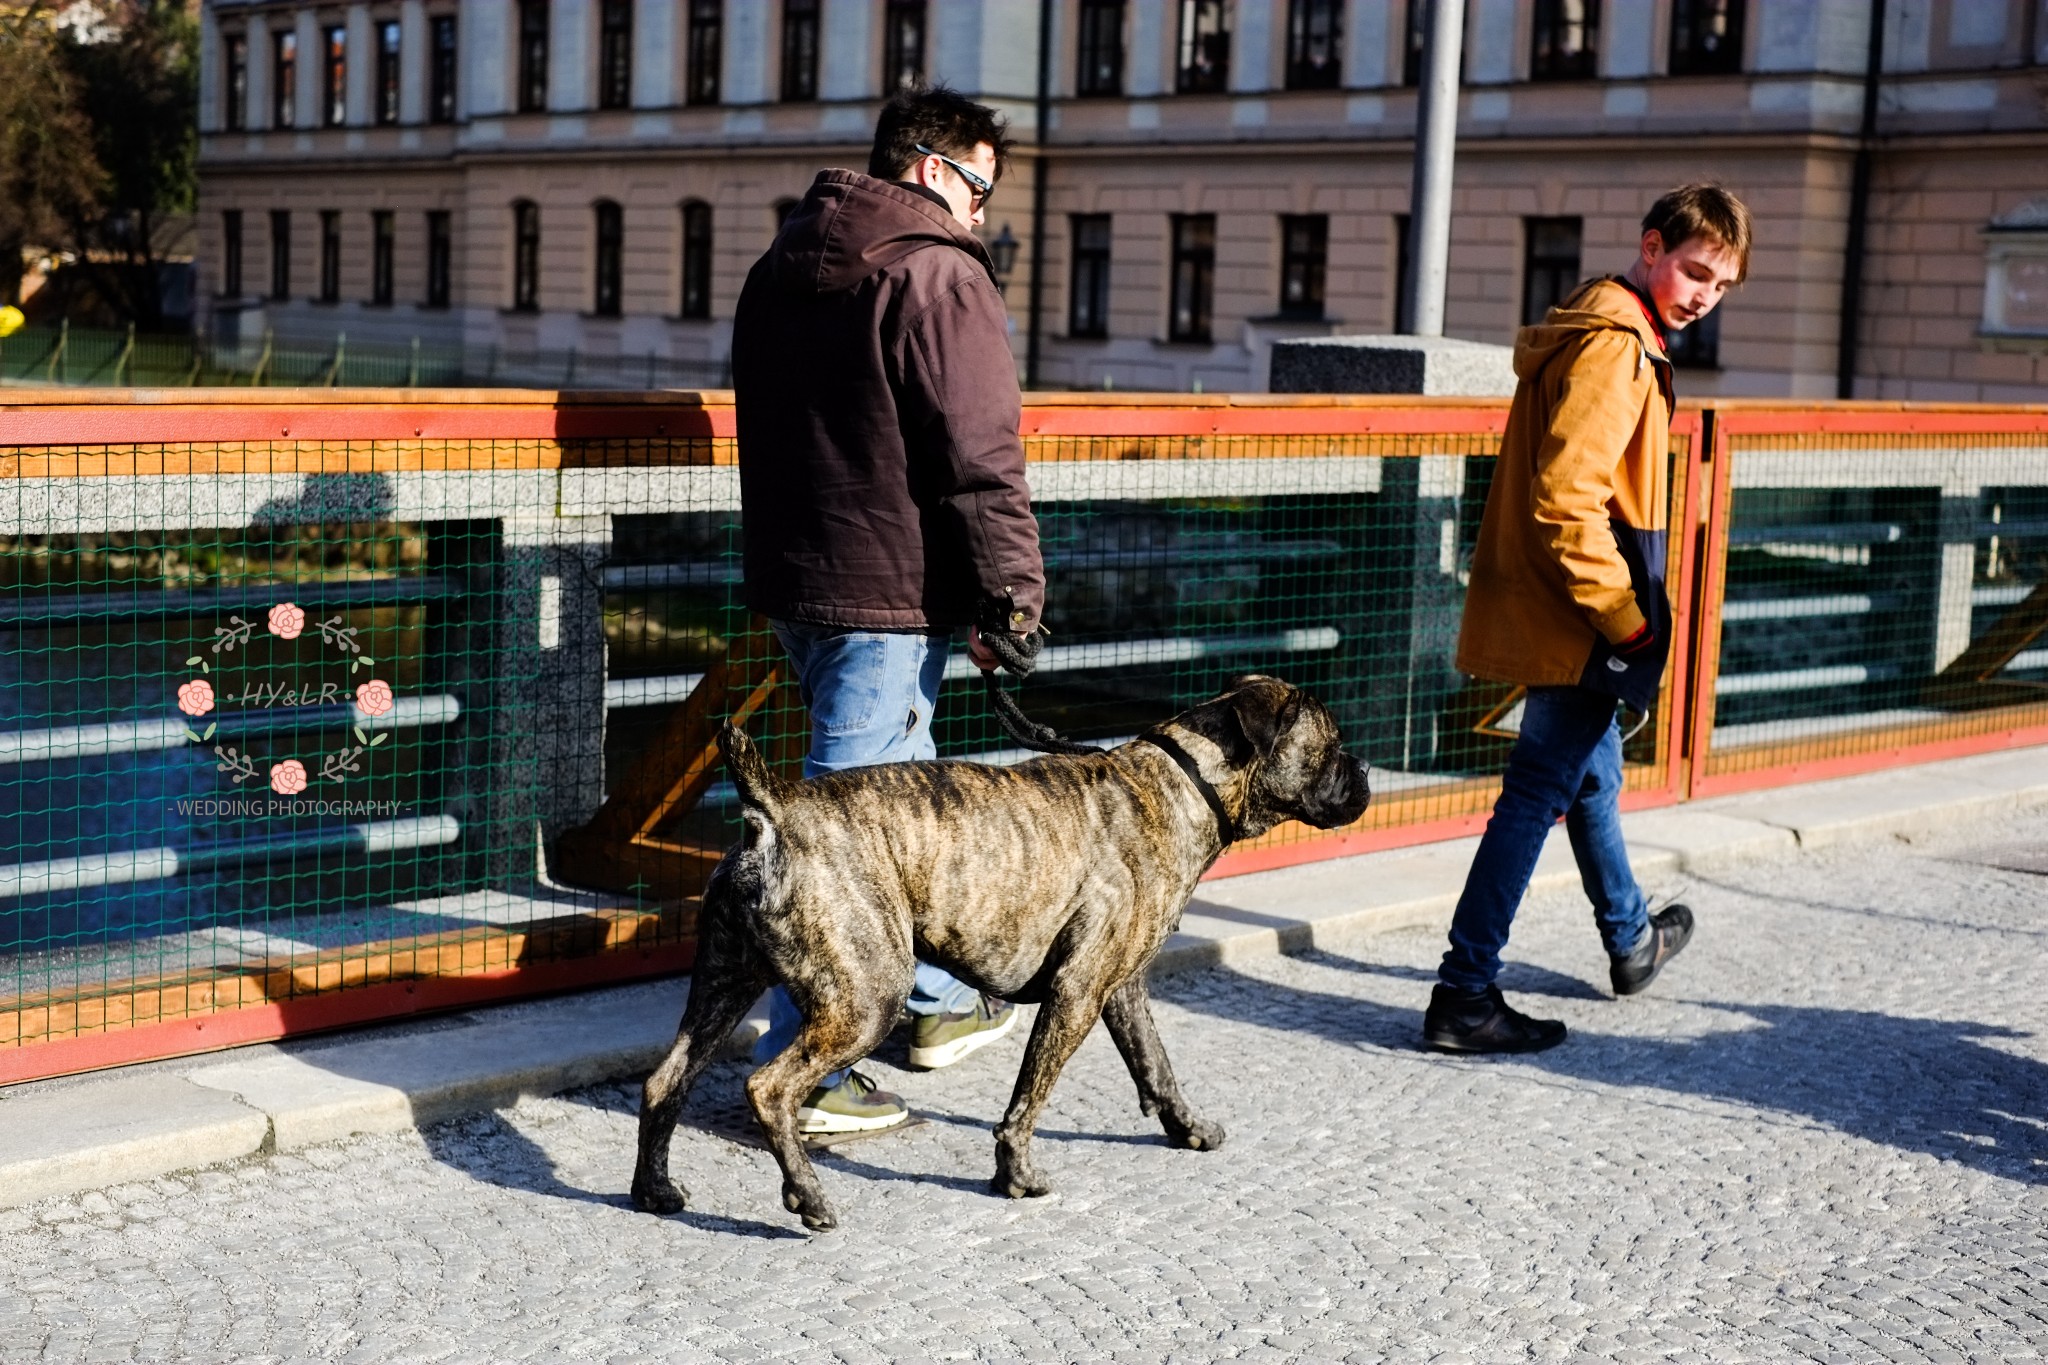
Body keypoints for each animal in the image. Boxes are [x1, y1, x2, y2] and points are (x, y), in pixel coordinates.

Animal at [630, 671, 1368, 1227]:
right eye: (1332, 745)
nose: (1362, 768)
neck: (1182, 780)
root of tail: (773, 810)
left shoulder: (1120, 989)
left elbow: (1156, 1065)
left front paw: (1187, 1128)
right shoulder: (1076, 994)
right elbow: (1026, 1101)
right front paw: (1015, 1174)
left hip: (724, 983)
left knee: (666, 1081)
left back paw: (654, 1191)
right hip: (866, 1000)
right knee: (769, 1087)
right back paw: (808, 1196)